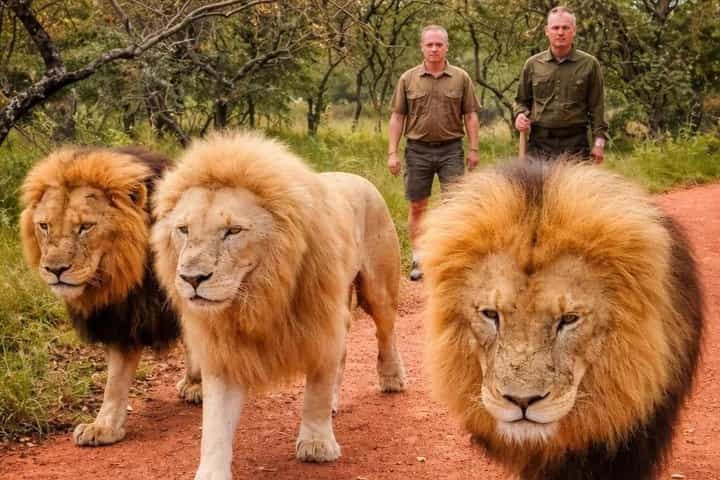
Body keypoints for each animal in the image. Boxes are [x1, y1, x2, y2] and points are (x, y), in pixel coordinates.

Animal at [19, 146, 202, 447]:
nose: (55, 270)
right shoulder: (124, 316)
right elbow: (115, 382)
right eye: (44, 226)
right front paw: (103, 428)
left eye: (85, 227)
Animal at [150, 131, 406, 479]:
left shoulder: (320, 322)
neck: (258, 297)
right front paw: (211, 471)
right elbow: (215, 425)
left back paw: (392, 379)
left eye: (233, 231)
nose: (192, 278)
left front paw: (316, 445)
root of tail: (358, 177)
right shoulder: (224, 350)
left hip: (378, 288)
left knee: (386, 333)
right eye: (184, 229)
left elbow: (317, 390)